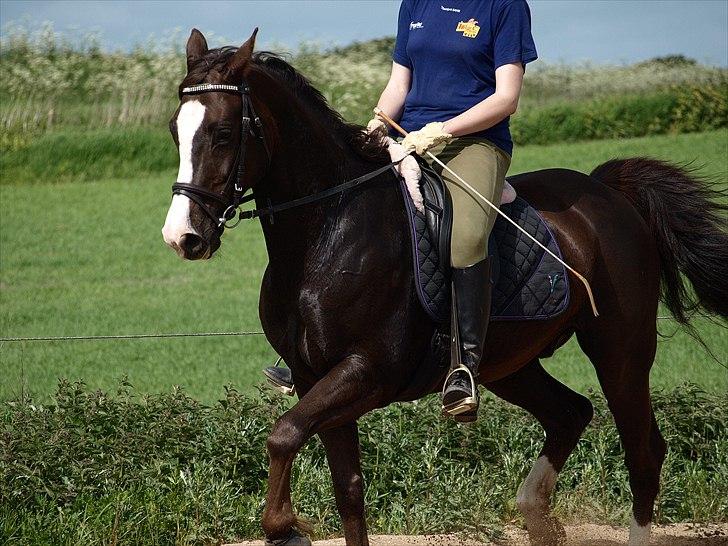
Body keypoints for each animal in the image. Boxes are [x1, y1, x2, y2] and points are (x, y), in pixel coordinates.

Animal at [162, 30, 724, 544]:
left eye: (222, 133)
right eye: (175, 130)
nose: (182, 237)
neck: (327, 229)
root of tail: (607, 193)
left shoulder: (366, 371)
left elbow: (282, 436)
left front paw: (285, 527)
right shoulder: (311, 376)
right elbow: (347, 487)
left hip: (621, 351)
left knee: (643, 452)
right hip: (511, 363)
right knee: (571, 413)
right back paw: (536, 513)